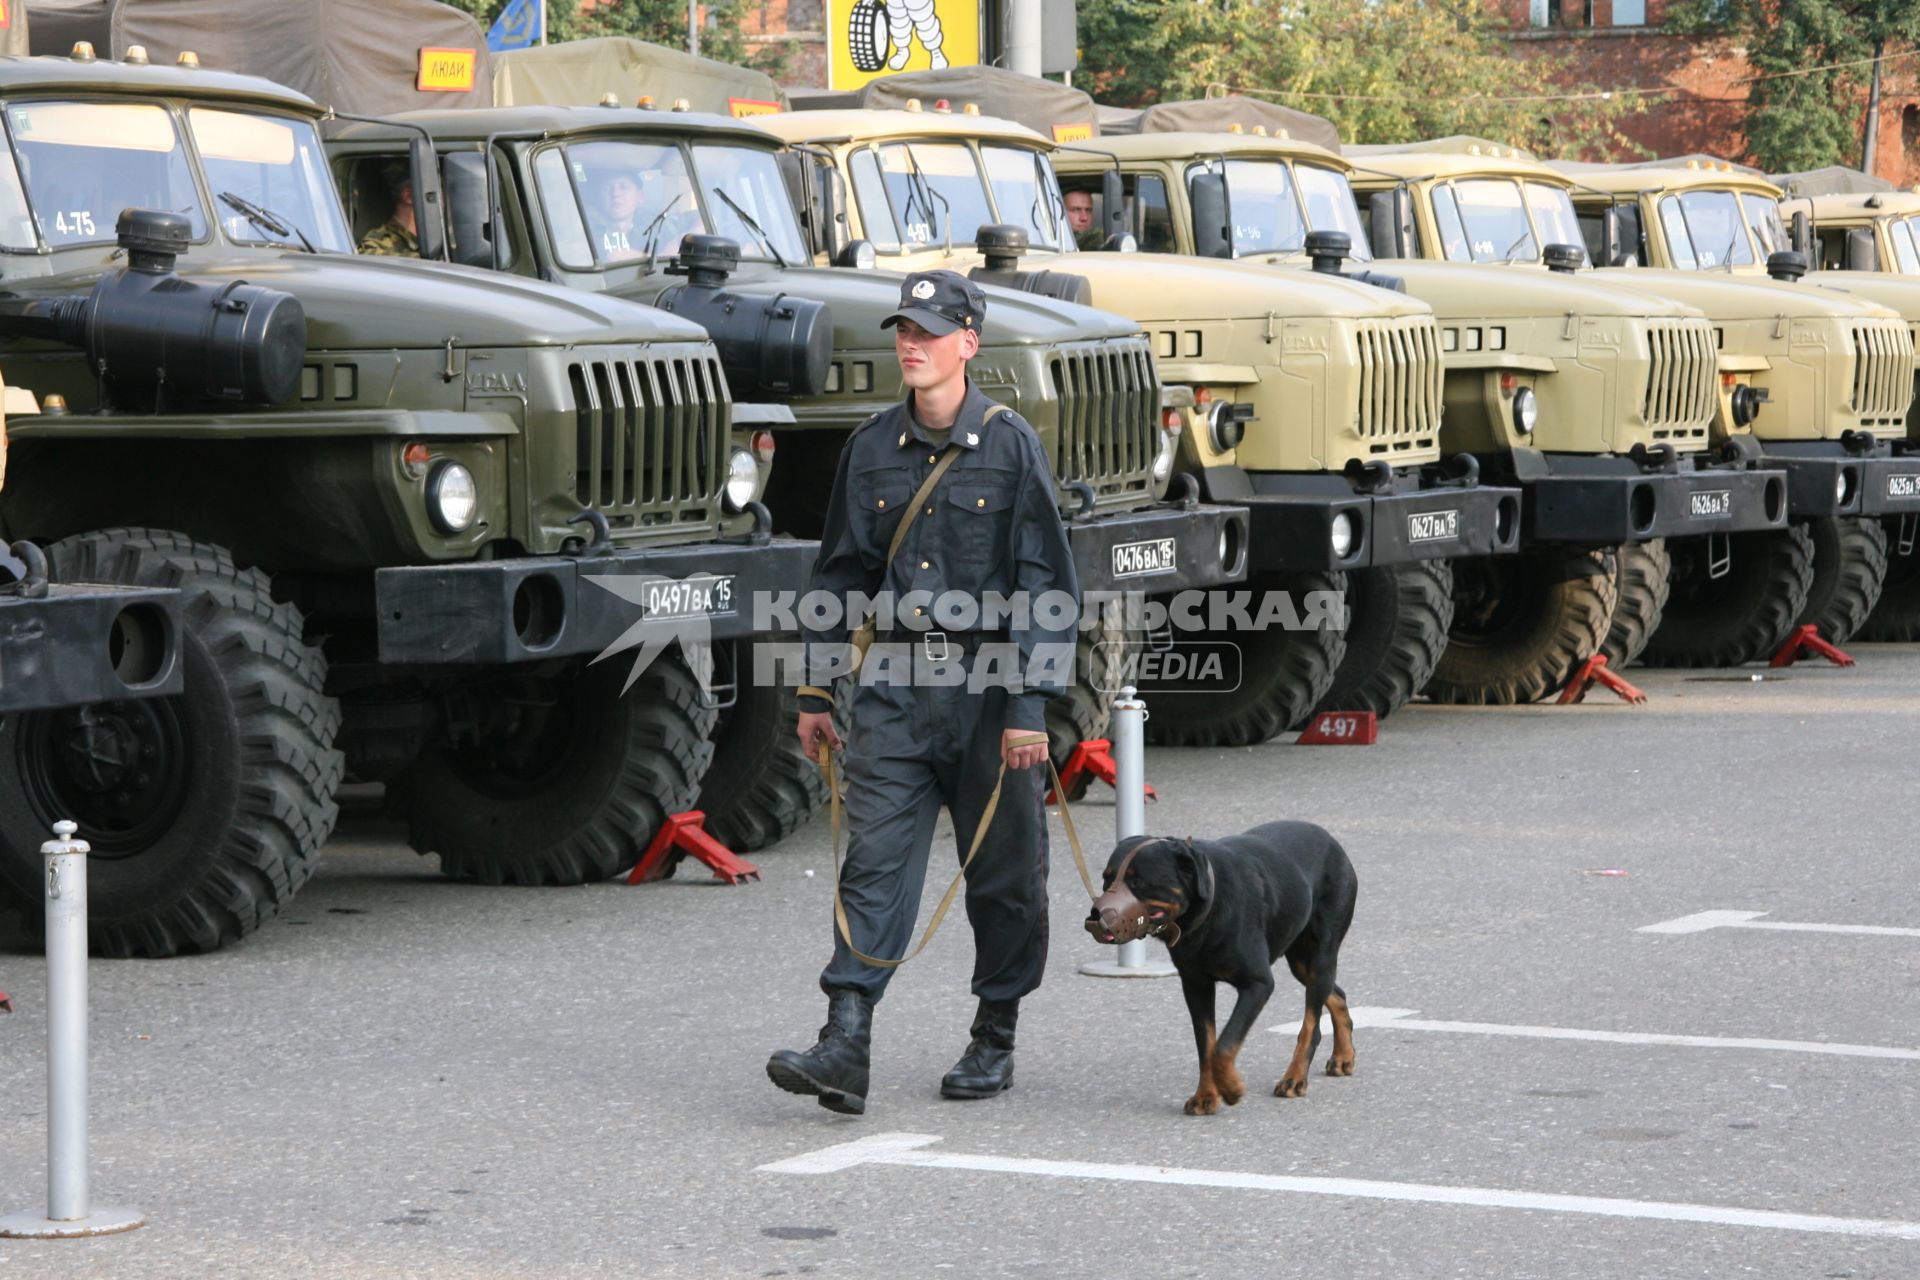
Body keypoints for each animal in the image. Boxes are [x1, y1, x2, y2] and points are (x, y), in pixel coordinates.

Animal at [1090, 825, 1359, 1113]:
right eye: (1107, 879)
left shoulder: (1258, 984)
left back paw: (1295, 1078)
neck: (1207, 913)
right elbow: (1206, 1046)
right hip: (1301, 961)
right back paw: (1343, 1056)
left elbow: (1223, 1046)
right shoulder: (1196, 986)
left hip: (1320, 954)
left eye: (1138, 882)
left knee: (1312, 1025)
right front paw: (1206, 1095)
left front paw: (1231, 1087)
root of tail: (1331, 840)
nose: (1096, 914)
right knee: (1337, 994)